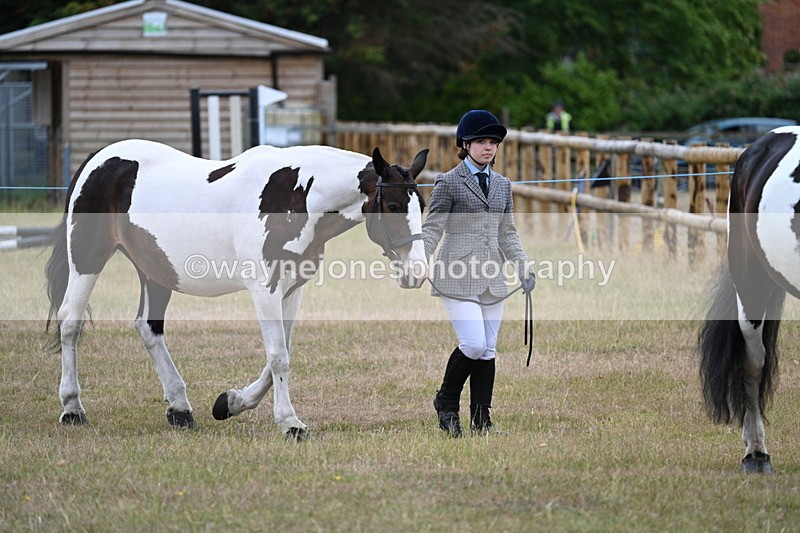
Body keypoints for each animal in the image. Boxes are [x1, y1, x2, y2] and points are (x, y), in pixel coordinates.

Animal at [45, 139, 429, 440]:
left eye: (421, 206)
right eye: (394, 206)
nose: (417, 273)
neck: (298, 195)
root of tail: (98, 159)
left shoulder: (292, 289)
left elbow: (281, 354)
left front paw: (230, 403)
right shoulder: (265, 289)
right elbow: (278, 356)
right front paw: (290, 423)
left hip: (155, 270)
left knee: (148, 328)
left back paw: (180, 409)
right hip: (88, 258)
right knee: (71, 323)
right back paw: (72, 409)